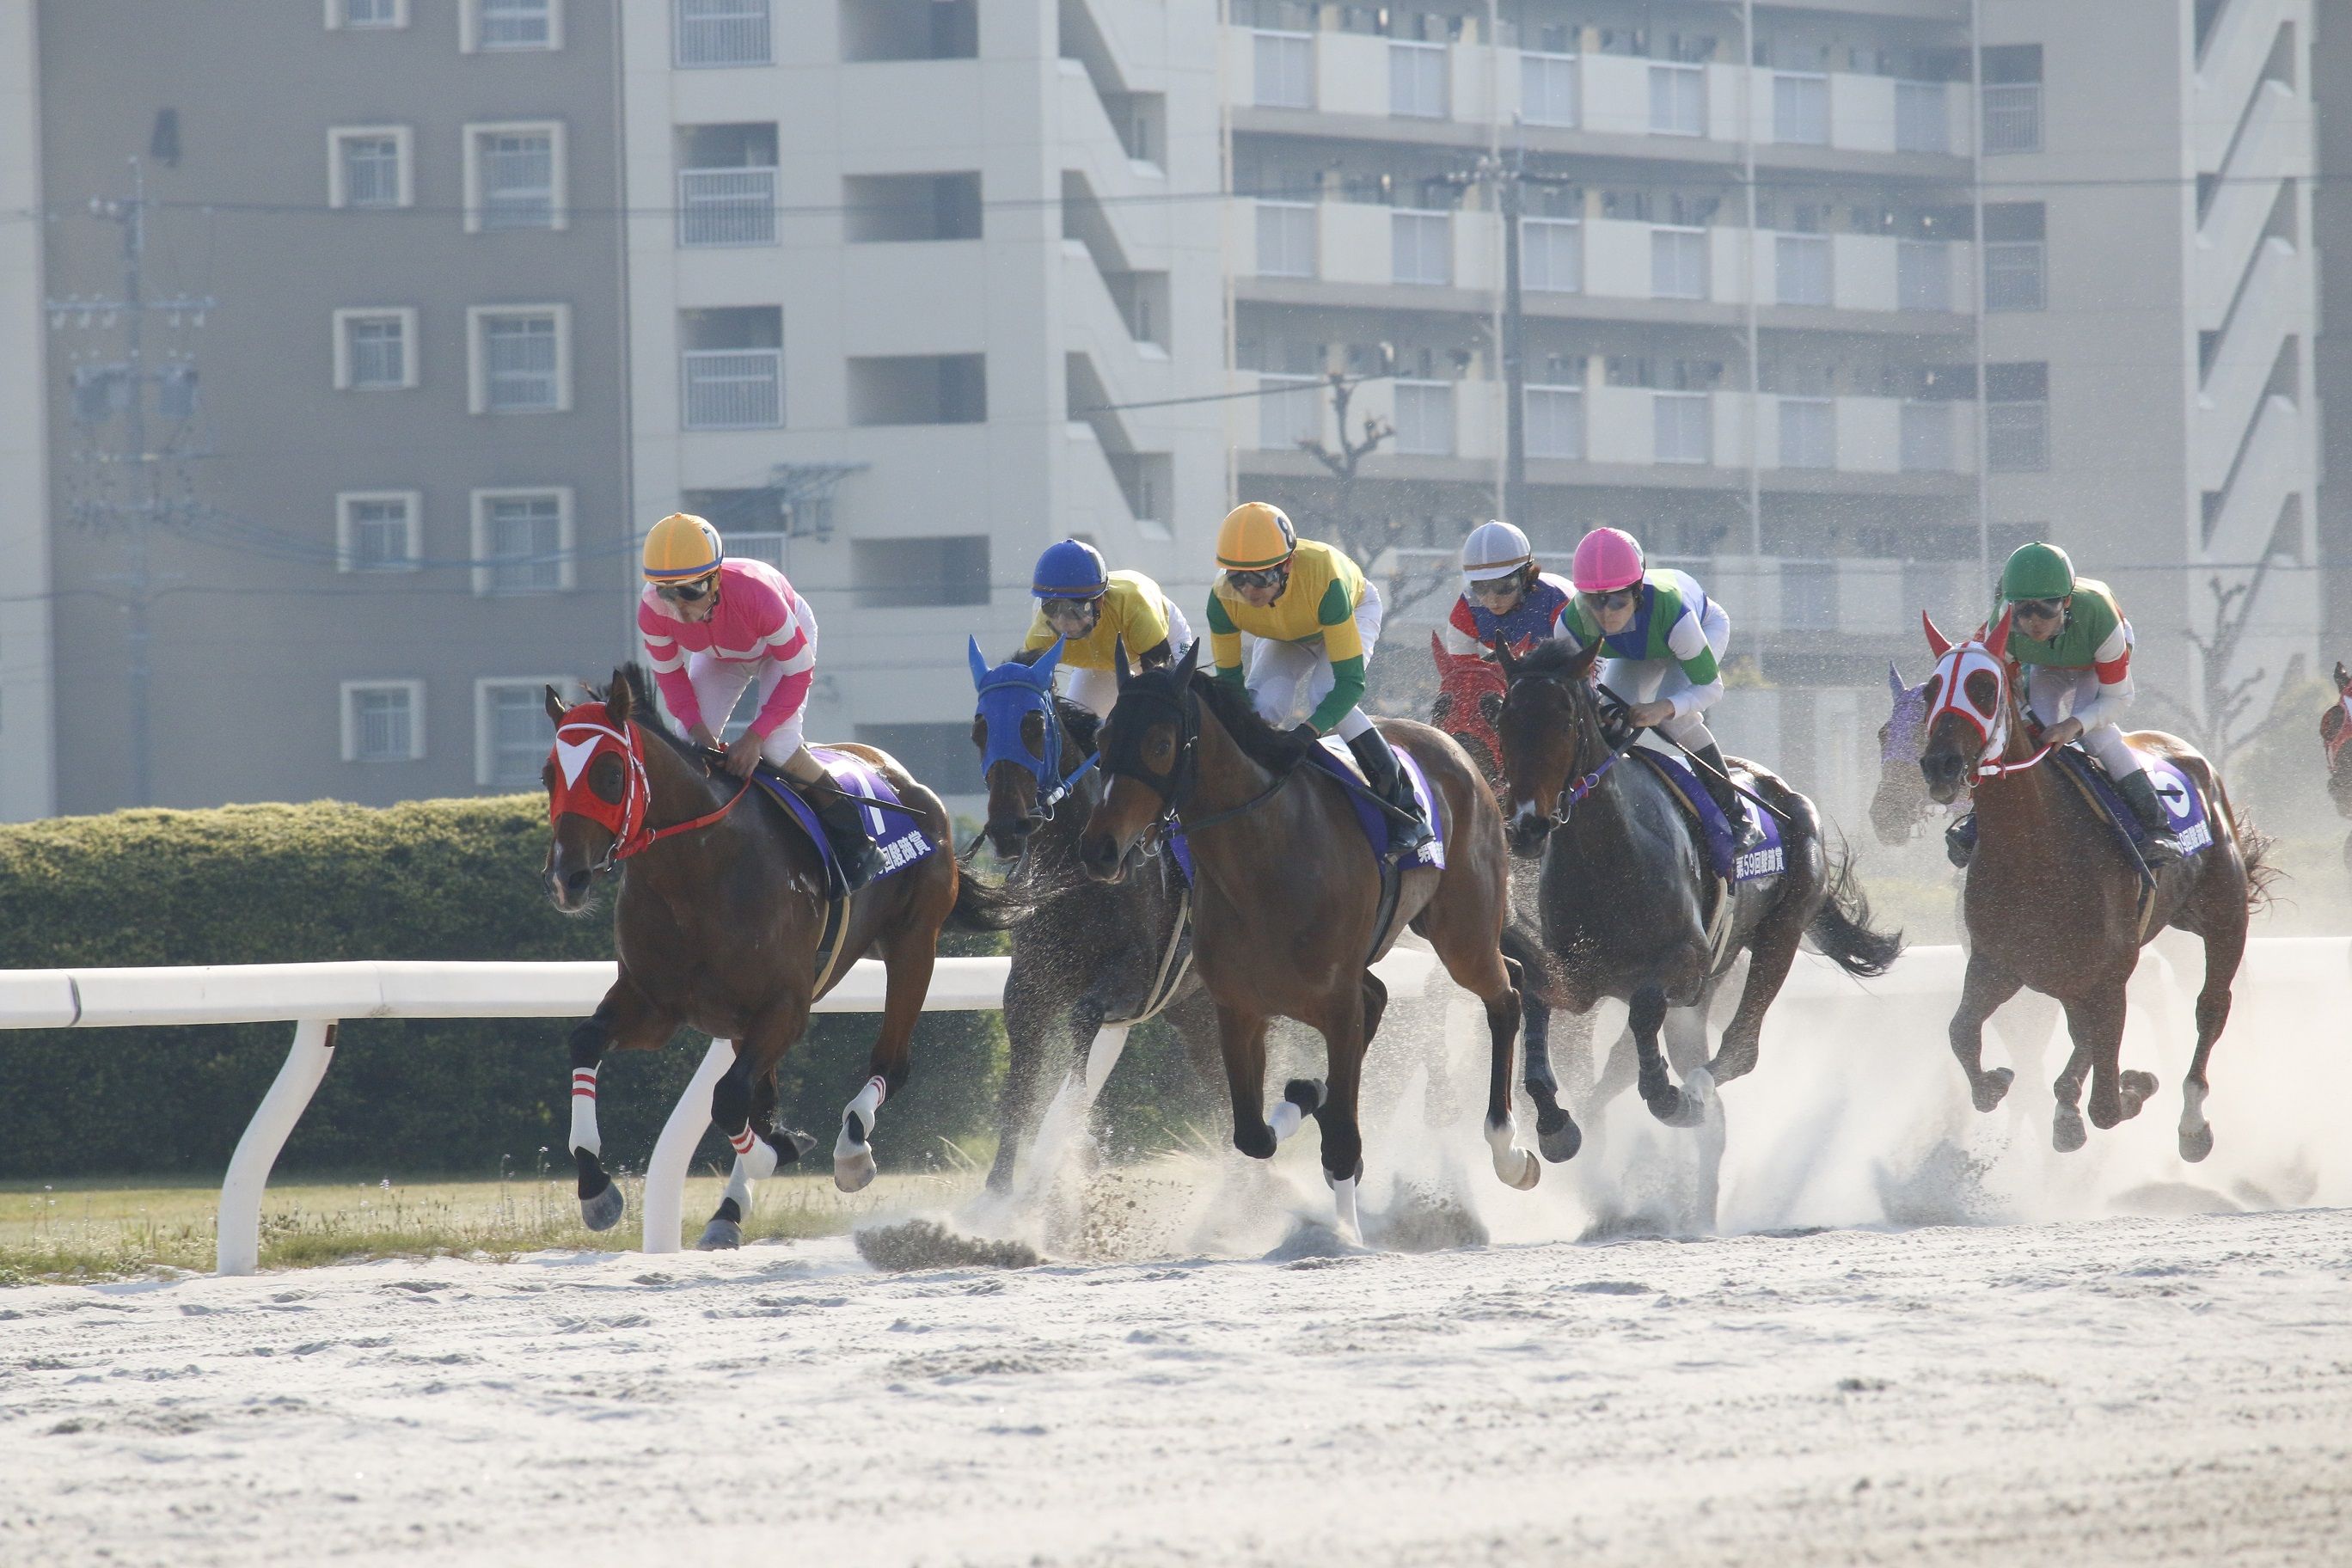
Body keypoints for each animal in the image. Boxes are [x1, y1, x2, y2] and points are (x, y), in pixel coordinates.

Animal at [538, 667, 1001, 1250]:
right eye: (549, 776)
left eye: (610, 773)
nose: (566, 879)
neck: (697, 870)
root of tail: (905, 780)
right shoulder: (654, 1005)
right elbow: (586, 1041)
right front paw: (595, 1188)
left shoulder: (785, 1007)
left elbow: (730, 1098)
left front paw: (776, 1152)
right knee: (764, 1096)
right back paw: (732, 1206)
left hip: (914, 942)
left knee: (890, 1065)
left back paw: (851, 1147)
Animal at [959, 639, 1213, 1189]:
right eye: (979, 730)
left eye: (1034, 726)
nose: (1008, 828)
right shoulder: (1029, 985)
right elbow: (1019, 1086)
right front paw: (998, 1191)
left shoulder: (1136, 977)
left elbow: (1081, 1029)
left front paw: (1072, 1146)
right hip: (1194, 1009)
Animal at [1077, 639, 1542, 1240]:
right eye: (1102, 739)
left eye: (1159, 744)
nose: (1100, 850)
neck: (1264, 863)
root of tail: (1454, 750)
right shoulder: (1238, 1009)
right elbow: (1253, 1136)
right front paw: (1303, 1095)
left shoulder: (1335, 1007)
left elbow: (1342, 1138)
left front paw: (1346, 1235)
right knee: (1388, 998)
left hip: (1462, 934)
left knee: (1505, 995)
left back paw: (1510, 1152)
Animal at [1496, 639, 1900, 1142]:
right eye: (1503, 720)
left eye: (1566, 720)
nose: (1526, 827)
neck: (1612, 855)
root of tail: (1785, 791)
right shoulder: (1576, 971)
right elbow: (1537, 995)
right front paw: (1553, 1120)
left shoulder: (1687, 963)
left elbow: (1645, 1008)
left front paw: (1671, 1099)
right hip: (1720, 967)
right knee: (1623, 1064)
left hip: (1780, 932)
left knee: (1742, 1046)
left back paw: (1694, 1091)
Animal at [1919, 620, 2267, 1161]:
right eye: (1931, 689)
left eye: (1984, 688)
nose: (1940, 765)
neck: (2033, 846)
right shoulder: (1999, 963)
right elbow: (1962, 1034)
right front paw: (1996, 1083)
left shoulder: (2109, 974)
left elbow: (2106, 1105)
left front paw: (2135, 1085)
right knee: (2080, 1032)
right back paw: (2066, 1106)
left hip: (2222, 915)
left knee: (2211, 1006)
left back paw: (2191, 1121)